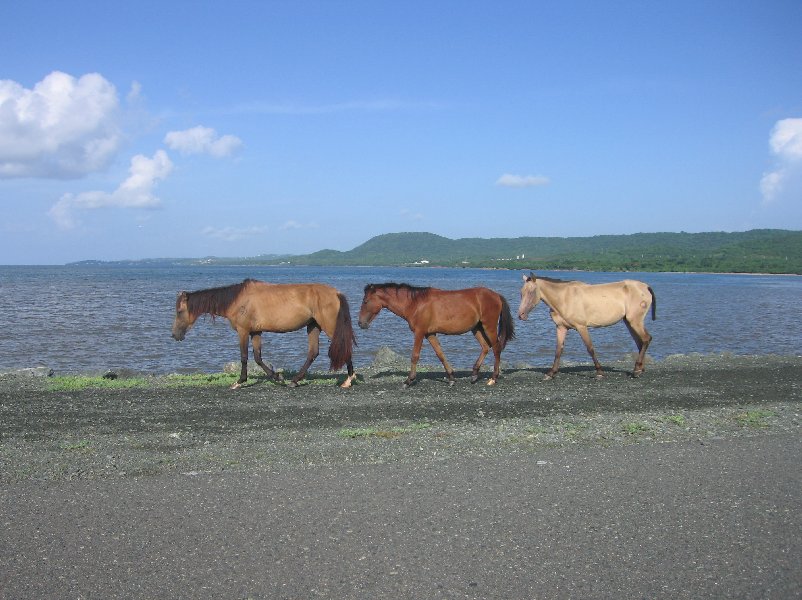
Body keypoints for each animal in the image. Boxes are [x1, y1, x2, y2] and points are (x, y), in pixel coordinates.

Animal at [173, 278, 356, 390]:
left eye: (180, 311)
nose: (175, 335)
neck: (237, 300)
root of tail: (336, 293)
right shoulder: (256, 332)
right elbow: (258, 358)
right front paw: (277, 377)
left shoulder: (243, 331)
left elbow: (244, 357)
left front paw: (239, 382)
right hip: (313, 326)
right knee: (313, 353)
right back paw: (294, 381)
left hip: (329, 326)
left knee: (343, 347)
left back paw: (348, 380)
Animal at [356, 284, 512, 386]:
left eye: (365, 301)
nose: (360, 323)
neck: (415, 303)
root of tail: (496, 295)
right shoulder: (430, 334)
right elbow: (440, 354)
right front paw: (451, 378)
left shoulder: (419, 332)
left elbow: (415, 356)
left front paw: (409, 380)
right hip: (476, 328)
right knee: (485, 347)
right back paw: (474, 375)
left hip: (488, 326)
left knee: (496, 348)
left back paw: (493, 377)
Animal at [516, 274, 652, 380]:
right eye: (521, 293)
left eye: (531, 292)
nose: (521, 315)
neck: (564, 298)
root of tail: (646, 287)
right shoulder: (561, 328)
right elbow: (558, 350)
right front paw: (551, 373)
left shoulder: (581, 327)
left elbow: (590, 348)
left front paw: (599, 373)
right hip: (629, 322)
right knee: (640, 342)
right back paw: (640, 369)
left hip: (635, 321)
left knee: (646, 339)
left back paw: (636, 371)